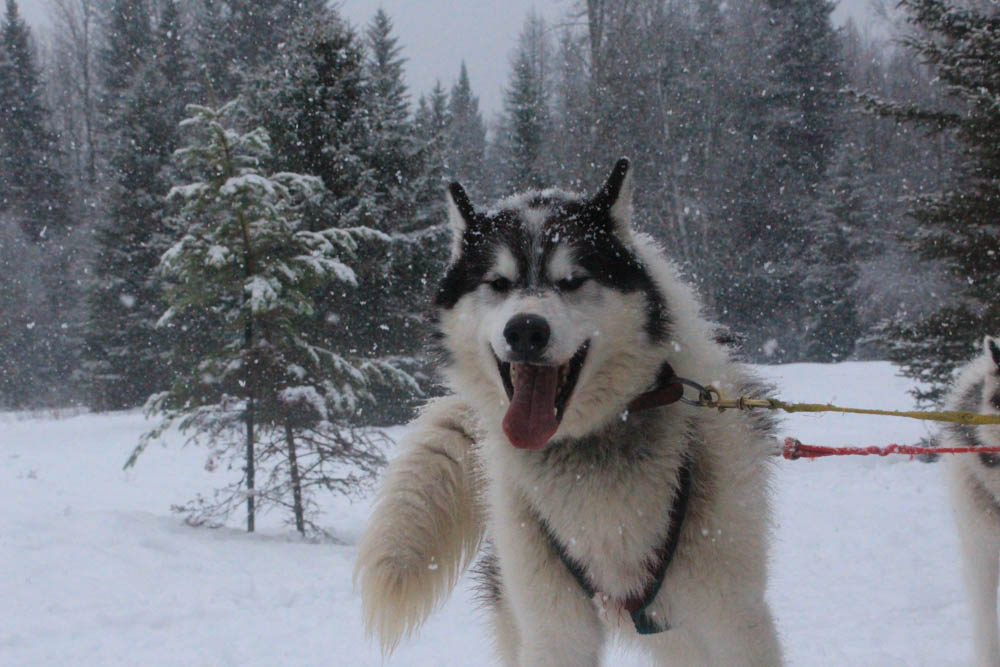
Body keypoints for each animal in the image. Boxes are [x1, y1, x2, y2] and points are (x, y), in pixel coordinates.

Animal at [356, 159, 784, 664]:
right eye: (498, 283)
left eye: (573, 280)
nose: (525, 330)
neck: (592, 448)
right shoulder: (554, 629)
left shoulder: (732, 620)